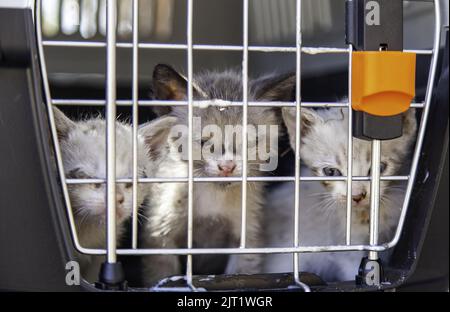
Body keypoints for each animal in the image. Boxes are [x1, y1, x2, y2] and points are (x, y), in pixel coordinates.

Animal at [142, 64, 296, 286]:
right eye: (204, 142)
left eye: (248, 142)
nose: (227, 166)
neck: (212, 196)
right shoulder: (160, 236)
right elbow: (162, 276)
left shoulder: (248, 236)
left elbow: (242, 274)